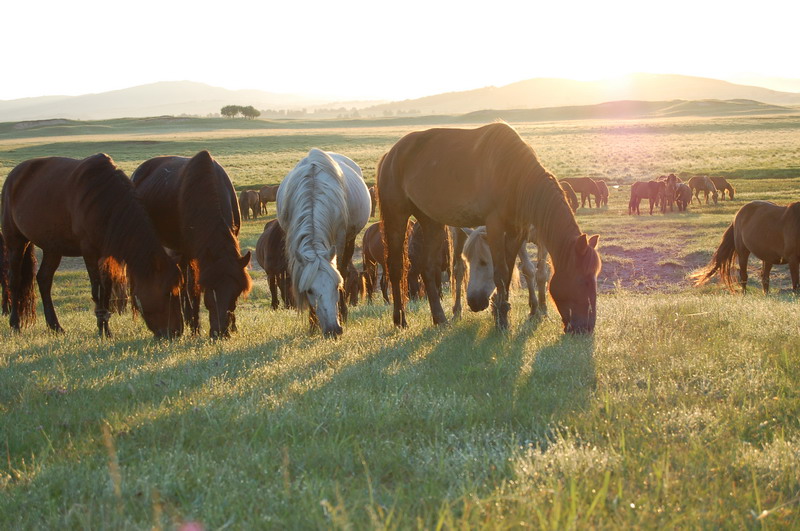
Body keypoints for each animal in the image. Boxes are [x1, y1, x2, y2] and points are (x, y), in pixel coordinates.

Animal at [1, 154, 183, 337]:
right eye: (168, 292)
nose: (176, 331)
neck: (106, 203)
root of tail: (14, 176)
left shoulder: (107, 254)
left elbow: (107, 289)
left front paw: (105, 326)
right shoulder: (89, 251)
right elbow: (98, 289)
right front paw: (103, 328)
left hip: (52, 248)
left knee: (44, 279)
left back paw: (55, 325)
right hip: (16, 241)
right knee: (15, 280)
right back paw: (15, 324)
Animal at [132, 151, 252, 337]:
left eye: (236, 292)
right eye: (210, 289)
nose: (220, 332)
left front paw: (233, 325)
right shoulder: (189, 252)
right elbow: (192, 290)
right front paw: (195, 327)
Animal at [276, 149, 371, 337]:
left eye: (336, 286)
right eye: (310, 290)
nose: (334, 329)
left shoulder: (340, 239)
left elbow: (340, 270)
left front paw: (341, 314)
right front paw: (313, 324)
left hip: (350, 239)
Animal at [377, 122, 600, 333]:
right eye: (584, 281)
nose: (586, 327)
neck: (515, 174)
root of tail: (391, 154)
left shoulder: (516, 232)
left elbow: (508, 273)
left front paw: (502, 315)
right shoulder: (495, 225)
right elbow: (500, 273)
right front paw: (502, 322)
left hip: (431, 221)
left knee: (428, 268)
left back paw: (440, 319)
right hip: (396, 215)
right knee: (396, 267)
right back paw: (400, 320)